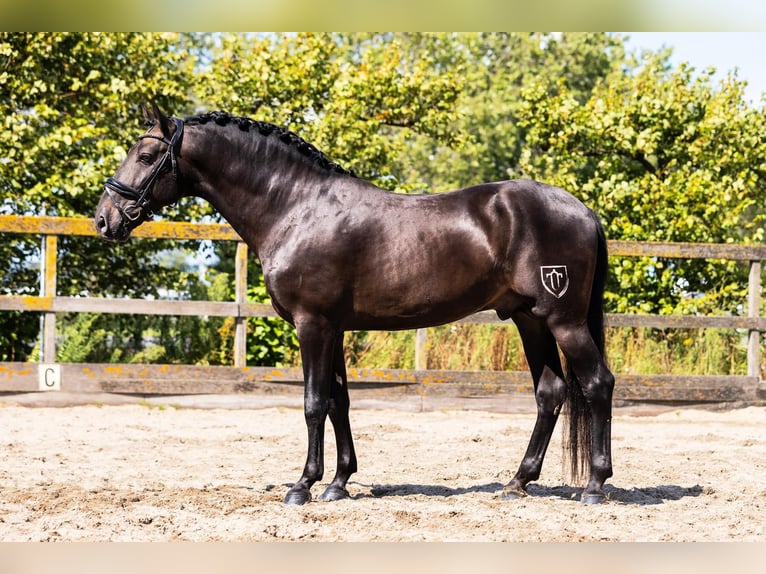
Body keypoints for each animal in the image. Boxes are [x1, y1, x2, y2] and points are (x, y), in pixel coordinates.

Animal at [94, 104, 616, 508]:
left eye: (146, 155)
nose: (104, 219)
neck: (295, 206)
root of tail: (583, 210)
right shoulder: (334, 328)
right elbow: (338, 401)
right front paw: (339, 483)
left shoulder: (312, 325)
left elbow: (312, 403)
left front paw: (302, 486)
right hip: (529, 319)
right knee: (551, 392)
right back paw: (517, 482)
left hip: (563, 320)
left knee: (597, 384)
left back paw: (594, 485)